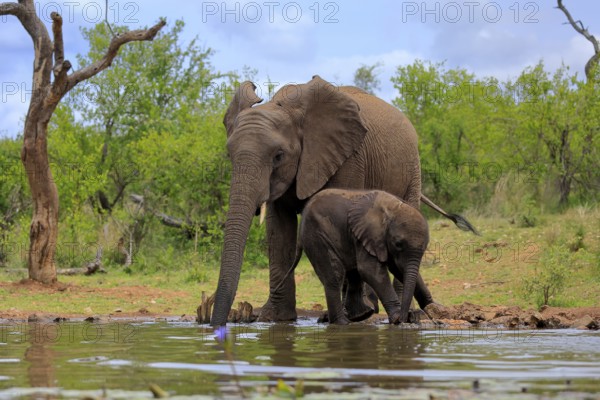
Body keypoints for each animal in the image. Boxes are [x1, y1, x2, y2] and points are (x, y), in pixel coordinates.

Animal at [298, 188, 428, 324]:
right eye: (398, 244)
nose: (404, 319)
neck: (393, 209)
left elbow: (399, 269)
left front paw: (431, 308)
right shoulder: (366, 234)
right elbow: (370, 271)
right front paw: (397, 317)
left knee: (352, 274)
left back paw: (359, 316)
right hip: (316, 235)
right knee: (335, 274)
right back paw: (342, 322)